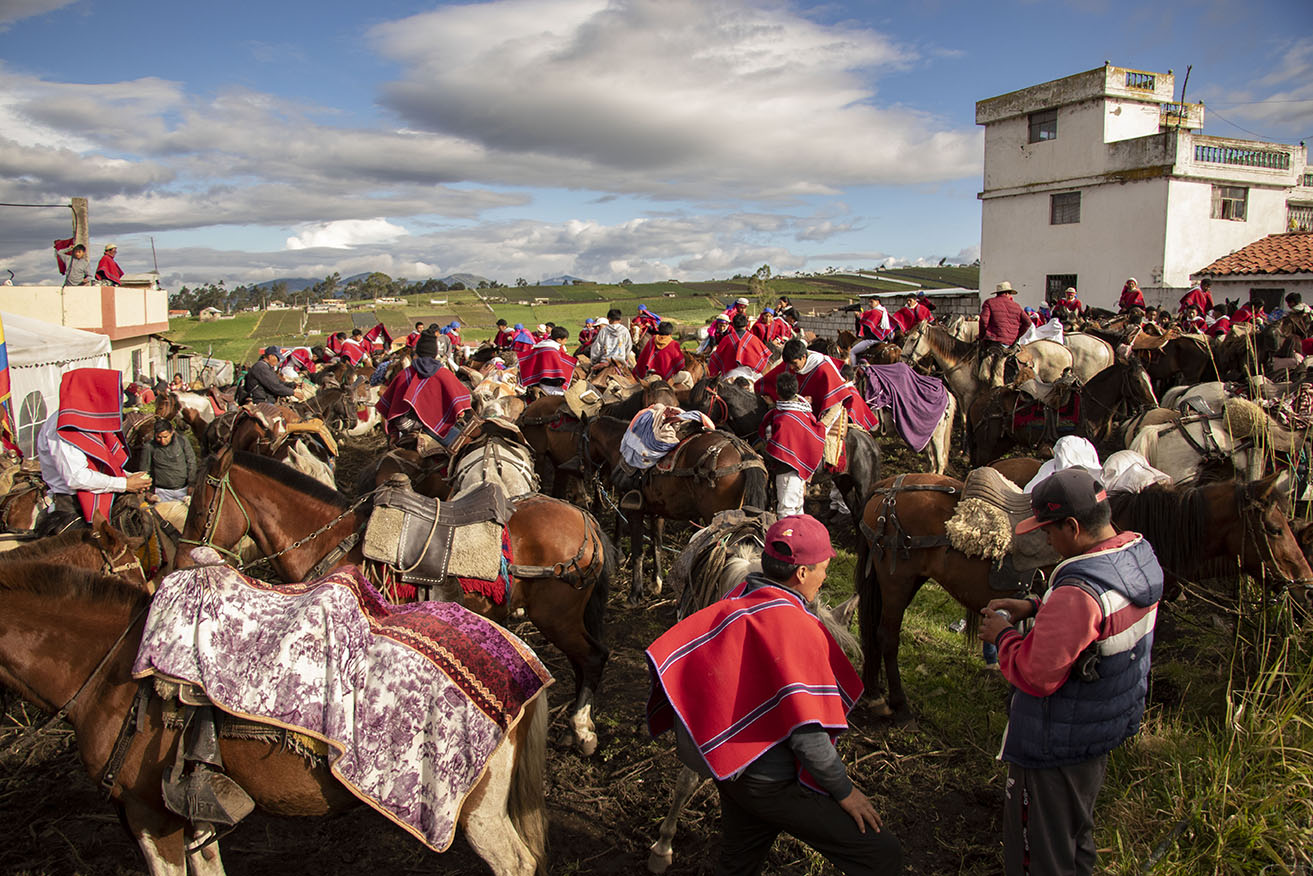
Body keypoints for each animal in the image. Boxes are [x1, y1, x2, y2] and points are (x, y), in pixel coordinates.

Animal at [0, 562, 548, 876]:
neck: (112, 669)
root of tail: (521, 659)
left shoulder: (149, 814)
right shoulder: (189, 812)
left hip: (476, 810)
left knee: (515, 864)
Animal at [175, 451, 619, 756]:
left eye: (200, 508)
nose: (180, 561)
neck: (330, 539)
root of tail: (584, 519)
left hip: (557, 617)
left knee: (594, 658)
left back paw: (582, 730)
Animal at [856, 470, 1313, 714]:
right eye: (1274, 528)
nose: (1304, 581)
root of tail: (885, 490)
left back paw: (875, 693)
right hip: (897, 580)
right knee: (886, 636)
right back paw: (896, 703)